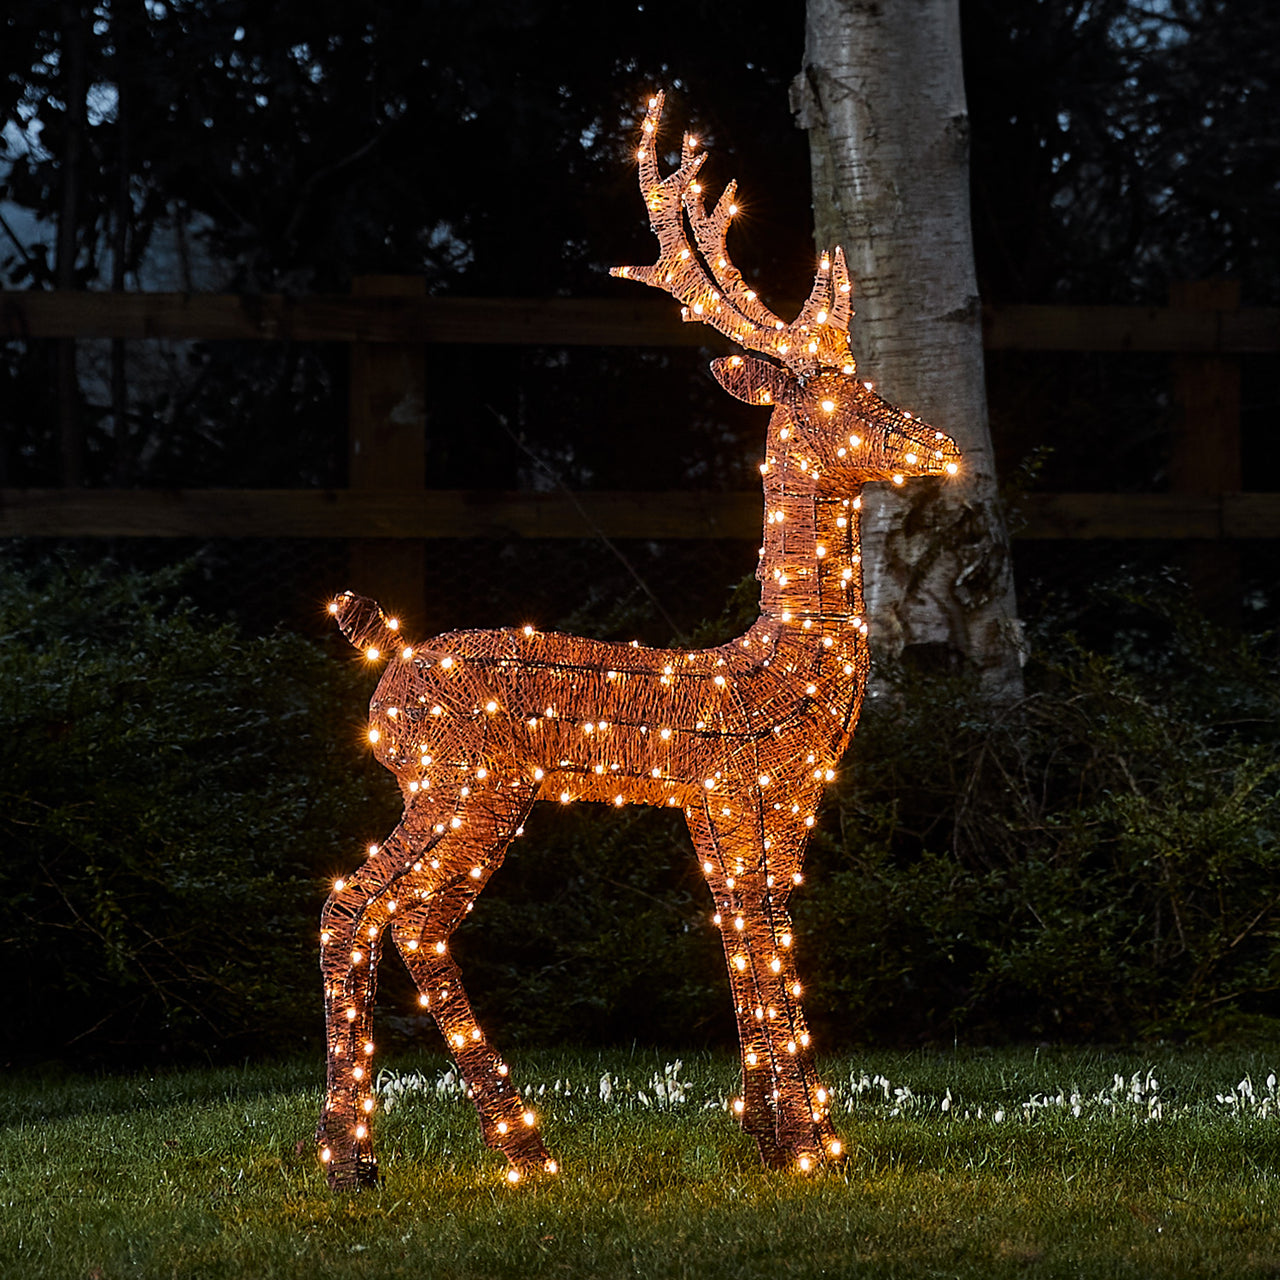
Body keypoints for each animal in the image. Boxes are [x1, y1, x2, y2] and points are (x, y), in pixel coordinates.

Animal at [316, 92, 961, 1189]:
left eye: (869, 382)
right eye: (839, 400)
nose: (945, 449)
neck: (781, 661)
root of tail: (386, 660)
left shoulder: (740, 803)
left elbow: (747, 932)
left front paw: (769, 1134)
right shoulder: (747, 787)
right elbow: (765, 932)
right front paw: (807, 1147)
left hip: (441, 787)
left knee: (359, 908)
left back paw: (360, 1156)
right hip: (470, 782)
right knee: (398, 913)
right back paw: (501, 1147)